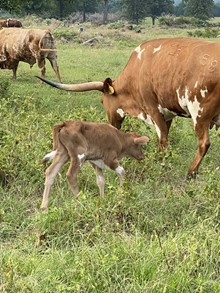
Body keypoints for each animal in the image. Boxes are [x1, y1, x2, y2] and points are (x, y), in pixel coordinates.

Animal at [37, 37, 220, 177]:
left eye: (102, 101)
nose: (111, 125)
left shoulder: (153, 109)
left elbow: (162, 140)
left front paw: (160, 164)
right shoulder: (167, 114)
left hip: (199, 113)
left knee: (203, 143)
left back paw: (191, 173)